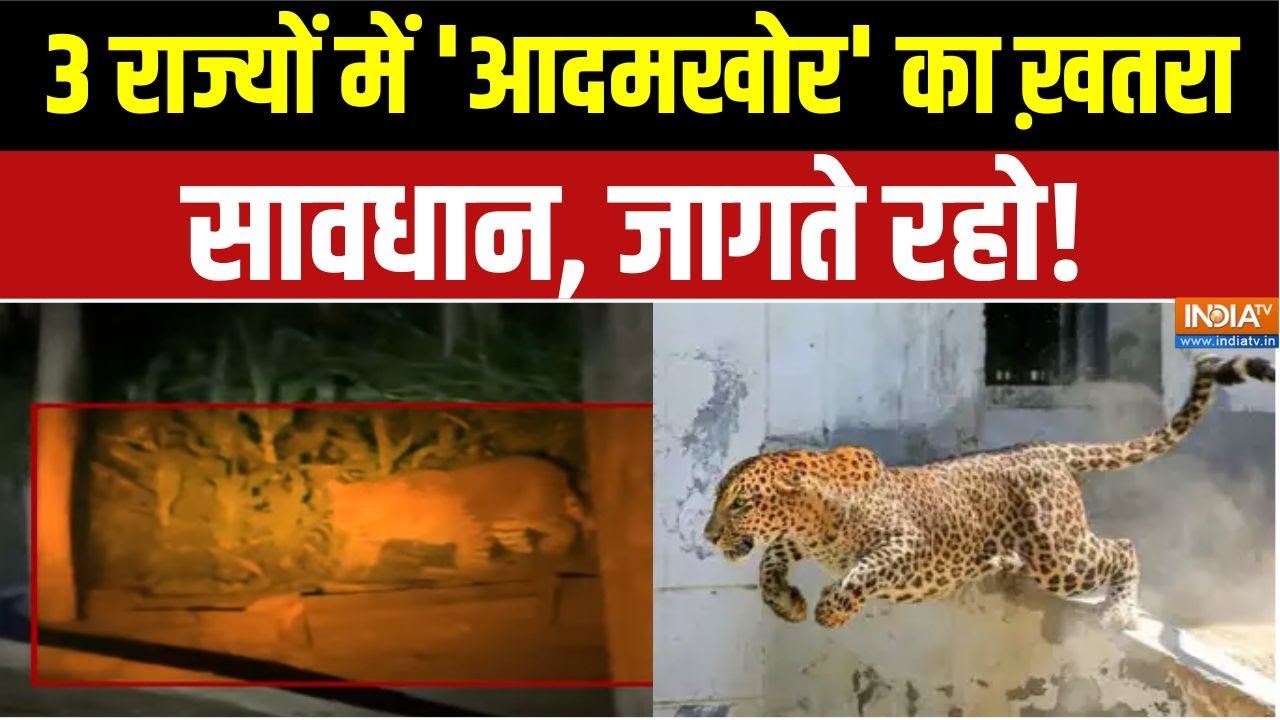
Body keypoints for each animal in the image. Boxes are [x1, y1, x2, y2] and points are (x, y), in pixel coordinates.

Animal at [704, 353, 1275, 632]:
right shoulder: (796, 539)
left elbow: (863, 571)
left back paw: (1119, 610)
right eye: (719, 499)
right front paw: (786, 602)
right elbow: (770, 559)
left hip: (1059, 554)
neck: (814, 516)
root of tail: (1045, 449)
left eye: (741, 504)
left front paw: (831, 610)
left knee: (1122, 547)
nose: (709, 536)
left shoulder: (906, 542)